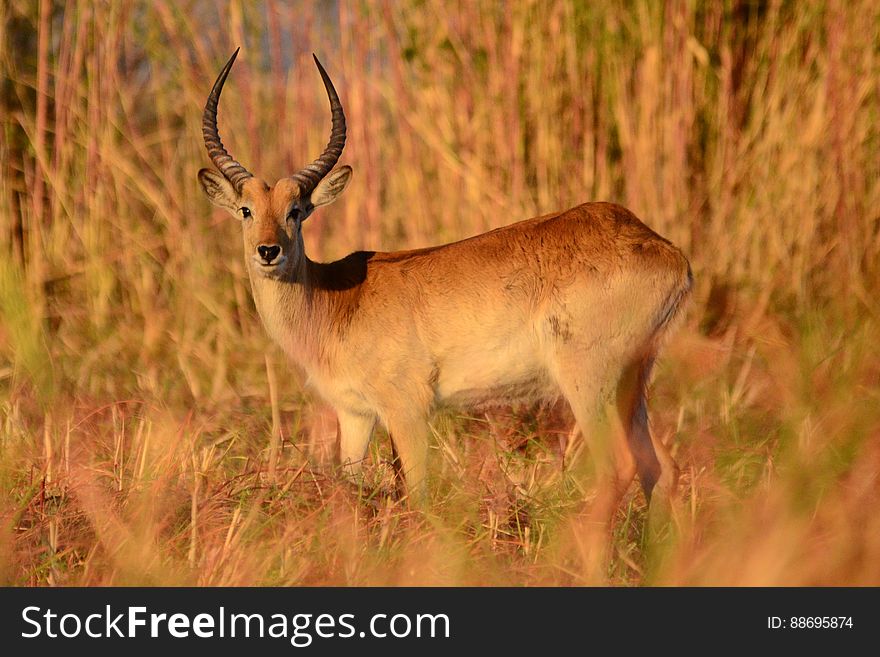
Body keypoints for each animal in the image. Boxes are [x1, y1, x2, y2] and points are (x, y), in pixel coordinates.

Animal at [199, 47, 696, 528]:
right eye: (246, 209)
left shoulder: (407, 409)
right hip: (632, 383)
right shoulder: (355, 414)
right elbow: (350, 488)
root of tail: (666, 250)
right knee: (662, 471)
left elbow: (417, 495)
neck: (338, 300)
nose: (268, 251)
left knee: (620, 467)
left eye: (297, 210)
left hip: (589, 380)